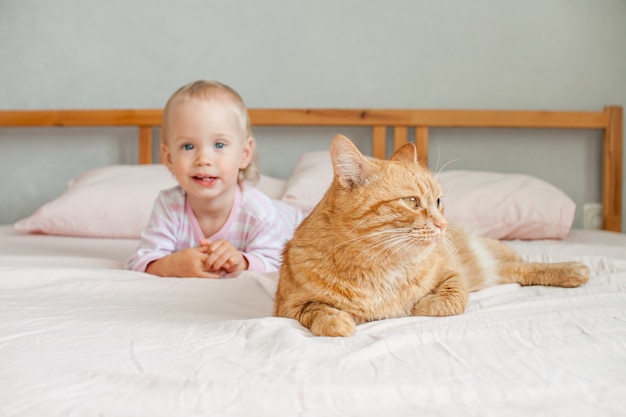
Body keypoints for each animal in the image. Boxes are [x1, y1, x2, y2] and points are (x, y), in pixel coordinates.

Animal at [272, 133, 584, 334]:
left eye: (438, 201)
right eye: (411, 201)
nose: (442, 224)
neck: (383, 268)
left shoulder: (452, 273)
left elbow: (449, 299)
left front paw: (422, 305)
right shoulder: (287, 307)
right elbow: (319, 312)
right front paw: (339, 321)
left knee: (521, 266)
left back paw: (574, 270)